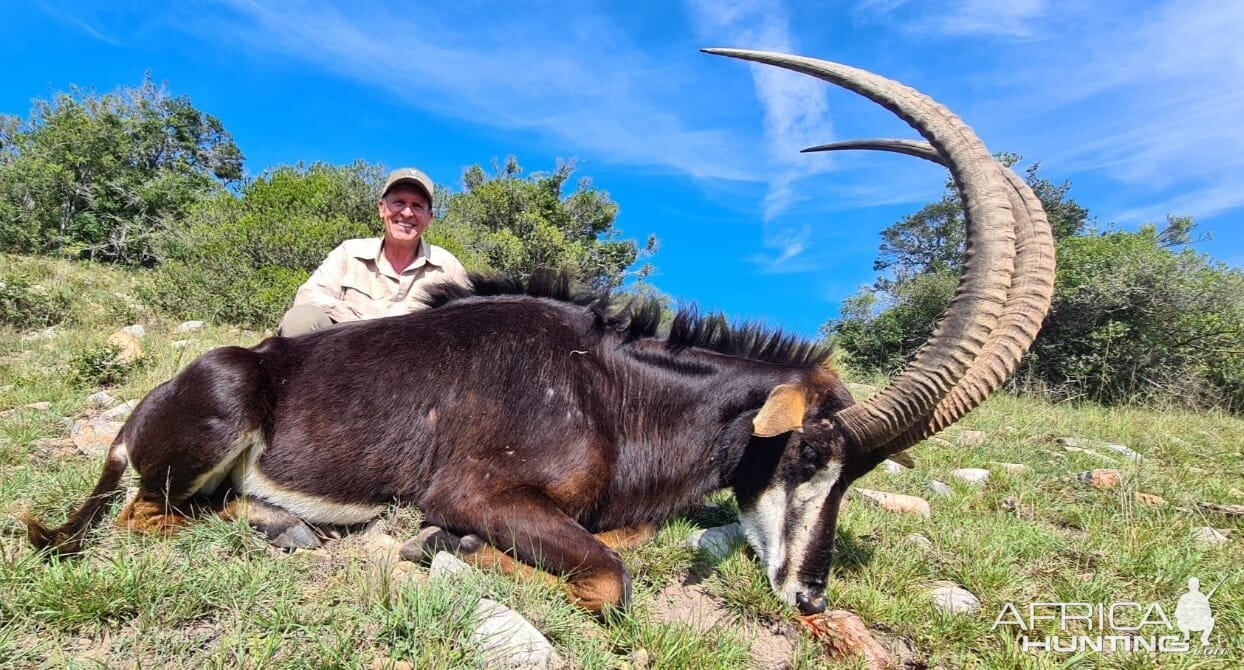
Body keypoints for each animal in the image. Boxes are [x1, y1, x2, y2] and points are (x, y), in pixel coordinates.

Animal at [24, 49, 1049, 619]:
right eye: (806, 455)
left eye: (855, 477)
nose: (810, 597)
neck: (607, 387)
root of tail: (143, 409)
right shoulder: (477, 489)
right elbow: (608, 579)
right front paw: (439, 546)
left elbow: (621, 543)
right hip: (209, 428)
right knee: (154, 517)